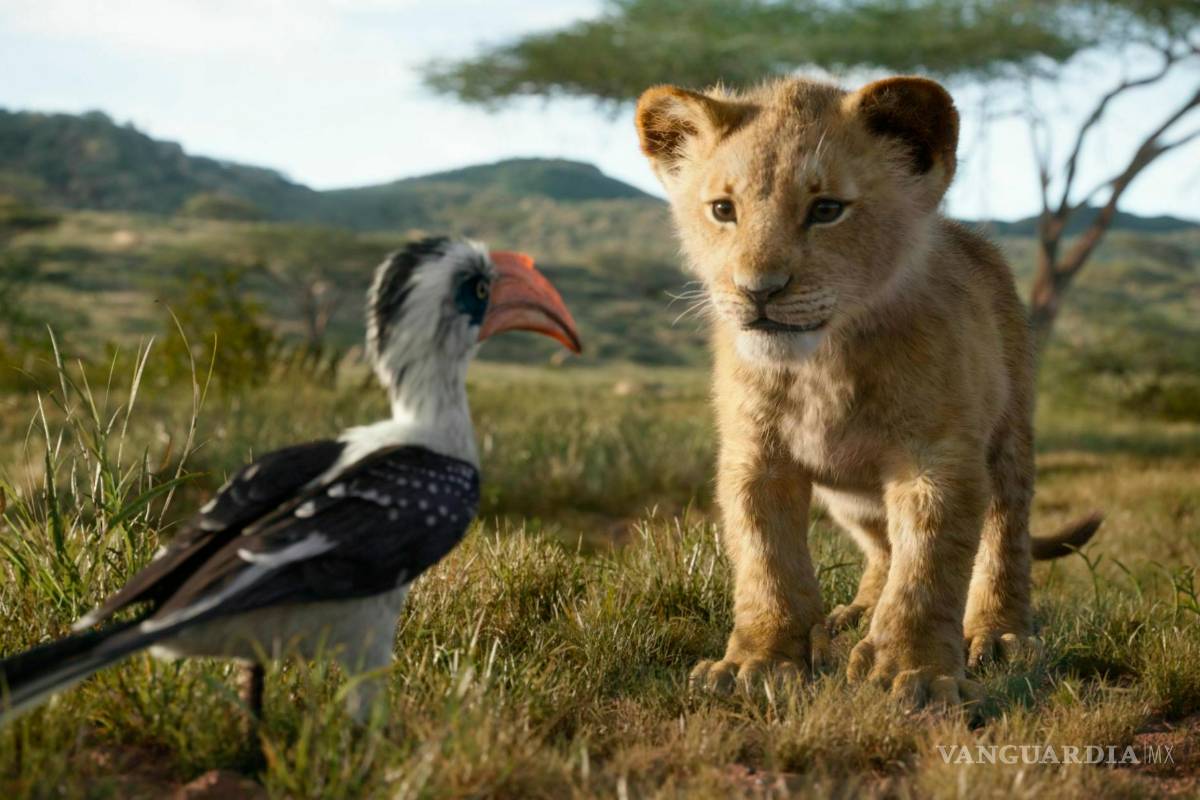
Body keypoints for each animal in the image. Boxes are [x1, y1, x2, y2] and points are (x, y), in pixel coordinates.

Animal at [634, 75, 1100, 708]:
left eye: (827, 209)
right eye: (723, 210)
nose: (758, 290)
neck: (822, 364)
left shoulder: (937, 458)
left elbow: (928, 567)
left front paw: (916, 672)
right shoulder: (755, 457)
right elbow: (766, 561)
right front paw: (759, 662)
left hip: (1009, 438)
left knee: (1005, 535)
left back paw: (999, 634)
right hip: (850, 496)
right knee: (882, 547)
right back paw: (853, 615)